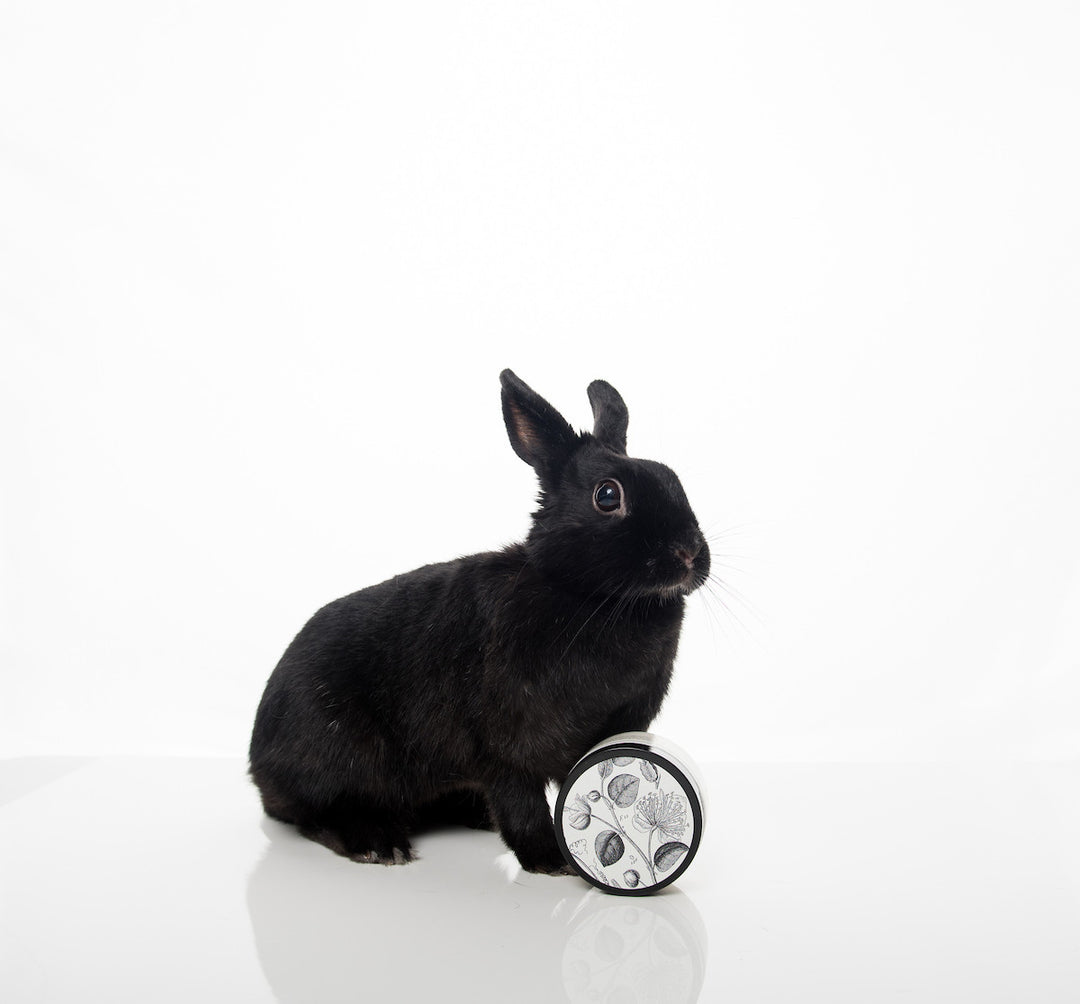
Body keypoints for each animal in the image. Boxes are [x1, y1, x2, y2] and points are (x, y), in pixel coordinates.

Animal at [248, 367, 712, 867]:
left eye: (672, 478)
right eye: (607, 496)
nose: (688, 553)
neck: (587, 595)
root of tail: (258, 758)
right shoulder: (505, 747)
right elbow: (520, 800)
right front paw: (549, 860)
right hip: (341, 755)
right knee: (316, 812)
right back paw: (379, 844)